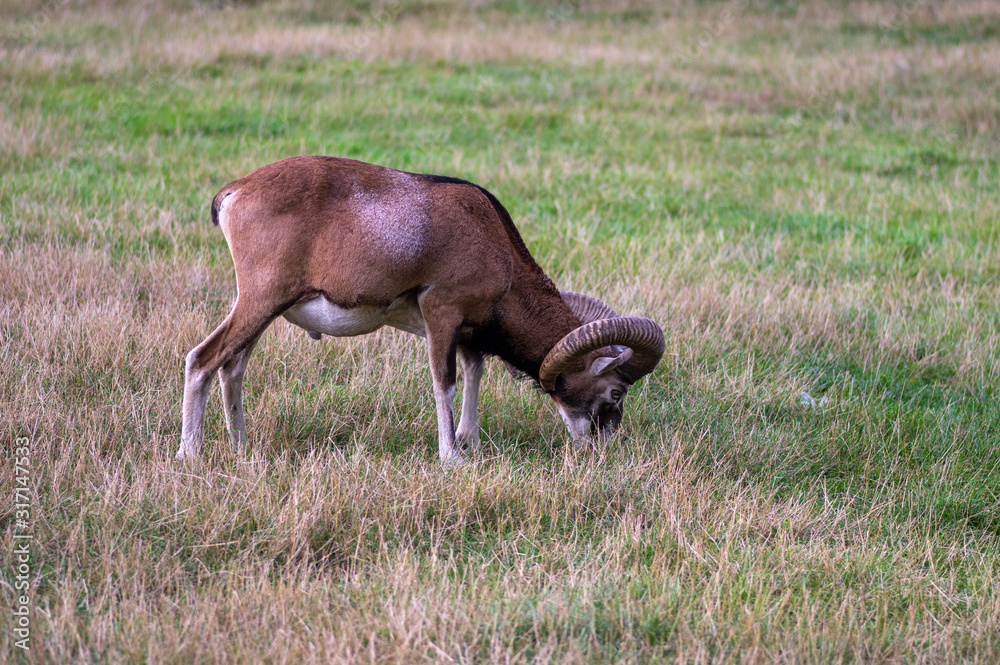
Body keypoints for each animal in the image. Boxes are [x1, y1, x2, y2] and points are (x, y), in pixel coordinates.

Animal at [178, 156, 664, 462]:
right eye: (616, 392)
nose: (601, 445)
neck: (493, 242)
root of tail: (233, 194)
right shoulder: (441, 312)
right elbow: (444, 380)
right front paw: (451, 457)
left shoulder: (467, 332)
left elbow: (473, 374)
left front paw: (469, 443)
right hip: (260, 300)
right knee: (203, 360)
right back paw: (190, 454)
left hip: (262, 310)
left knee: (233, 367)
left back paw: (241, 447)